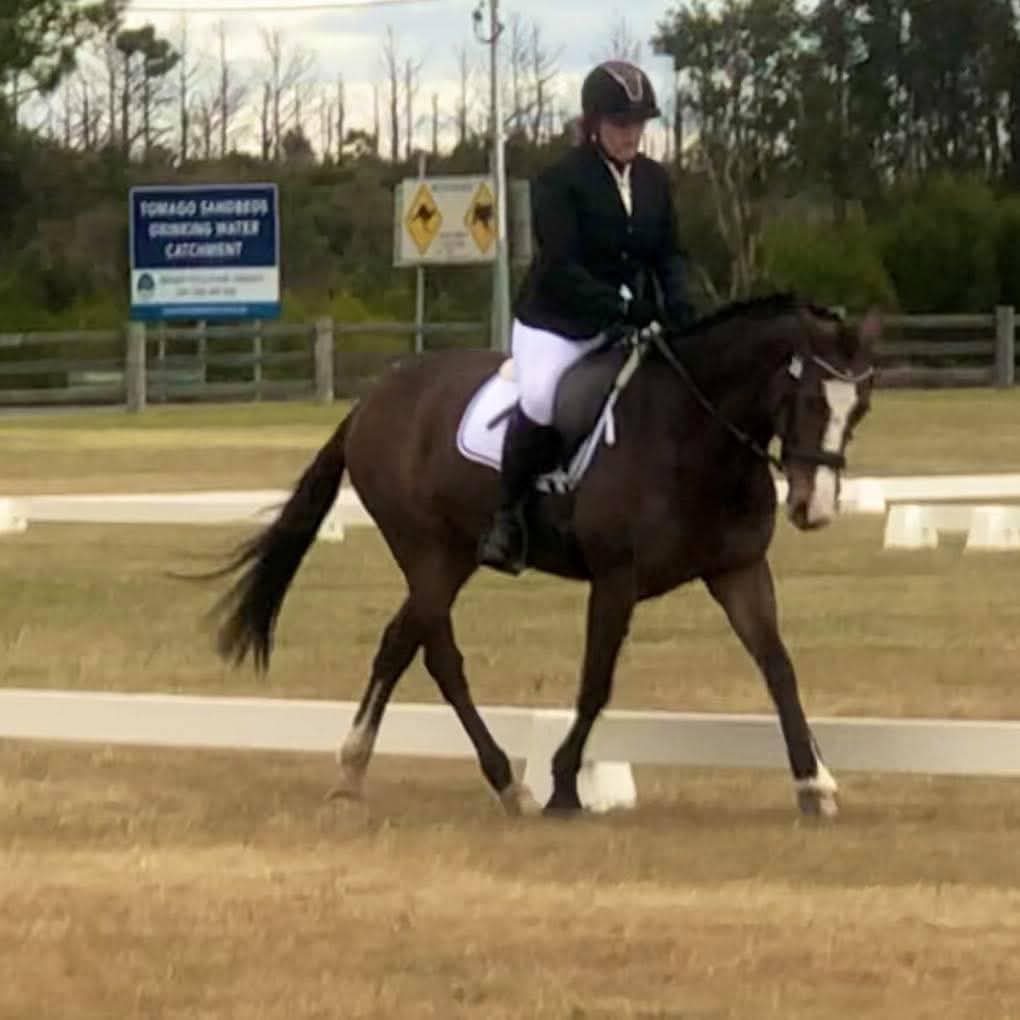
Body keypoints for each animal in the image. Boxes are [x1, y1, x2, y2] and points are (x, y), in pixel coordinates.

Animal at [208, 293, 879, 819]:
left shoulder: (738, 570)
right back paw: (499, 782)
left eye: (860, 408)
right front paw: (563, 785)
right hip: (428, 552)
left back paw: (372, 773)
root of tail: (371, 402)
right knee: (436, 655)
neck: (693, 433)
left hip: (448, 556)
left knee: (402, 643)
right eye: (809, 399)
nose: (814, 508)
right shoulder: (615, 579)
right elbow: (596, 681)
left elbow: (778, 667)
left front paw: (814, 783)